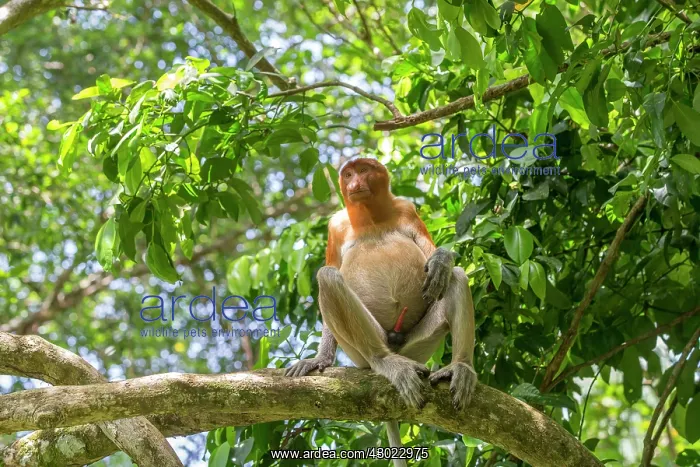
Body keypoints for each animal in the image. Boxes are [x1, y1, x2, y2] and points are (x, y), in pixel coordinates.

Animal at [285, 158, 477, 463]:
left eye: (364, 170)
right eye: (348, 174)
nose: (354, 184)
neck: (369, 218)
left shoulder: (406, 209)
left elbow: (432, 254)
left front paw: (441, 260)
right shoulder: (336, 226)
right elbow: (332, 267)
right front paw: (319, 360)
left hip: (419, 344)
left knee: (456, 276)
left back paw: (460, 368)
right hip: (361, 350)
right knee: (328, 276)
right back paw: (387, 363)